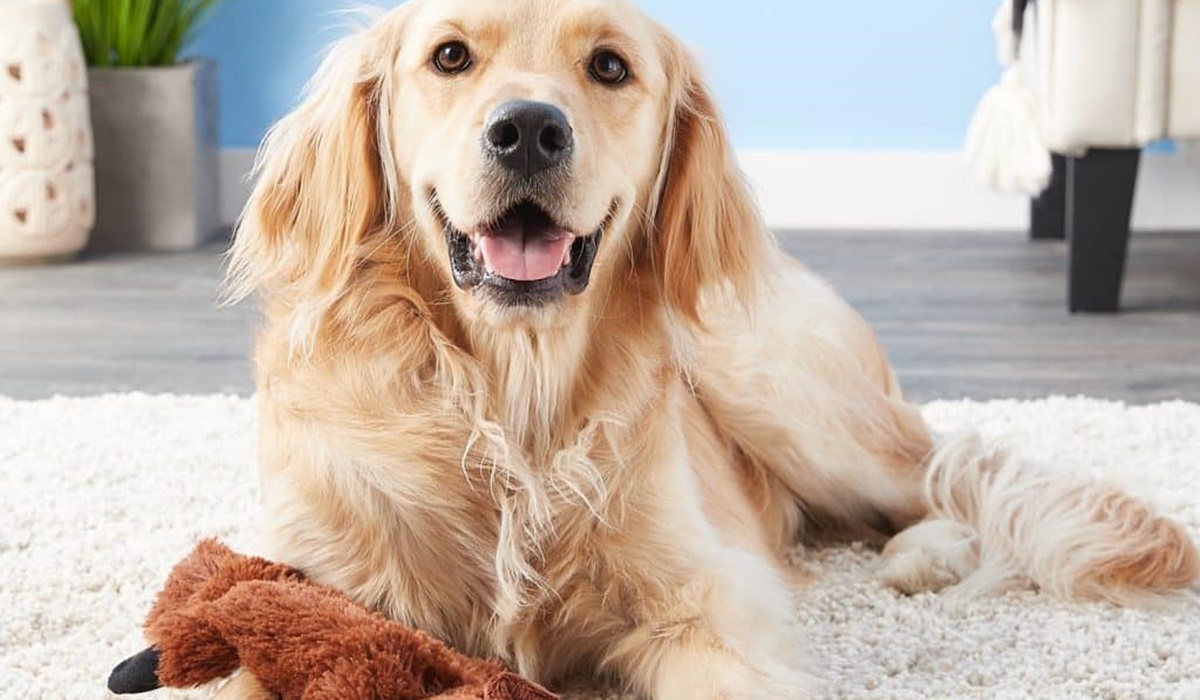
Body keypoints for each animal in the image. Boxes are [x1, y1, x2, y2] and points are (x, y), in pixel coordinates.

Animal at [220, 1, 1195, 696]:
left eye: (609, 65)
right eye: (450, 57)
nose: (529, 129)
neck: (513, 402)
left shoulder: (704, 604)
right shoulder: (310, 587)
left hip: (778, 390)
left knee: (943, 472)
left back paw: (927, 552)